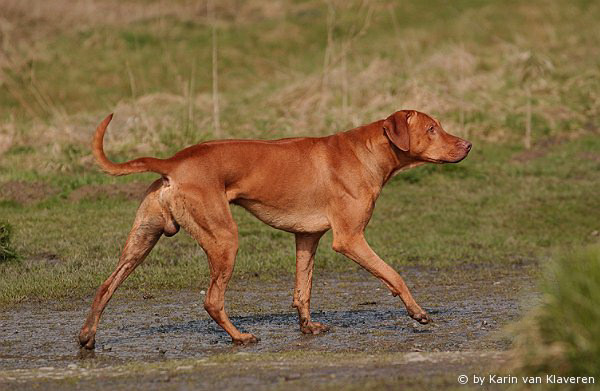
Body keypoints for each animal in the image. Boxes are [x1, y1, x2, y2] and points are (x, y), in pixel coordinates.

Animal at [78, 110, 474, 350]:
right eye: (432, 129)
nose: (468, 145)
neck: (366, 153)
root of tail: (173, 162)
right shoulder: (349, 240)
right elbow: (393, 275)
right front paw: (418, 313)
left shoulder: (307, 238)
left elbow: (303, 290)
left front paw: (307, 327)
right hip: (225, 239)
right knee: (212, 300)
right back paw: (240, 337)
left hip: (141, 242)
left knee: (105, 287)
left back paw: (87, 336)